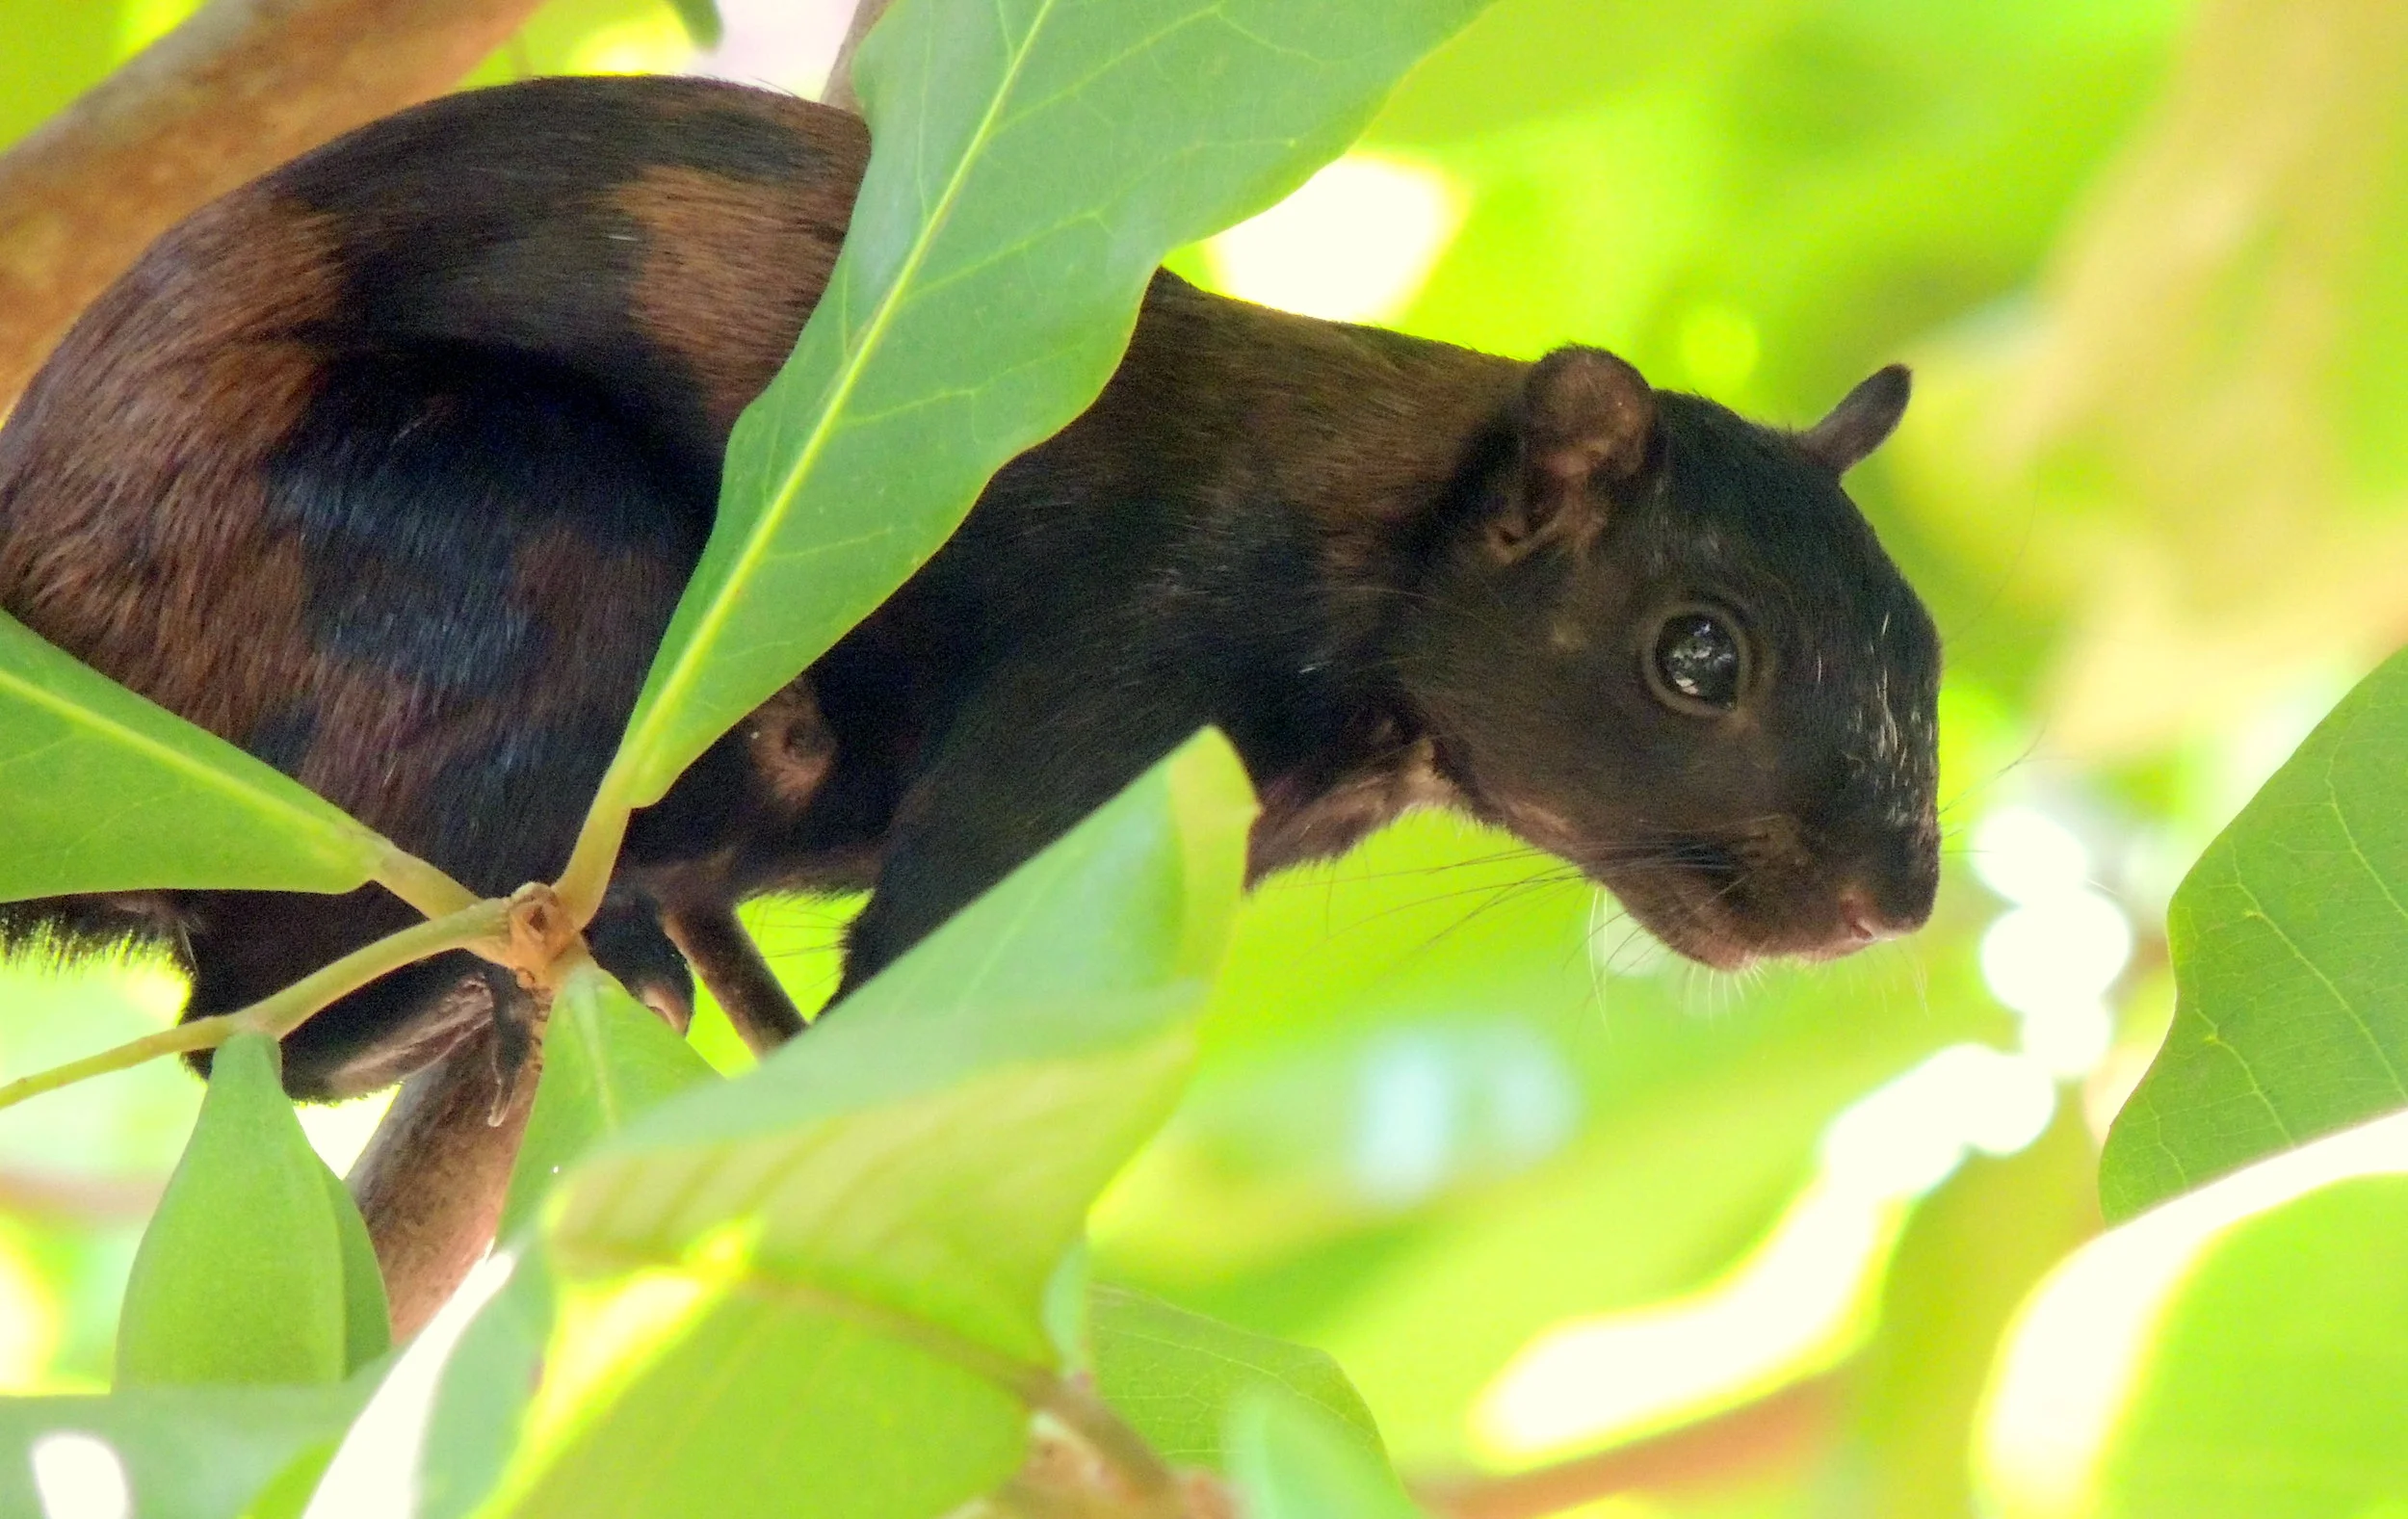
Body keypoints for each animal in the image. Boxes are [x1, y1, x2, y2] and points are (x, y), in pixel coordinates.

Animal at [0, 75, 1940, 1101]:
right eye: (1701, 654)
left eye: (1921, 659)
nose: (1896, 901)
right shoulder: (1110, 688)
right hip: (525, 543)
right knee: (252, 1017)